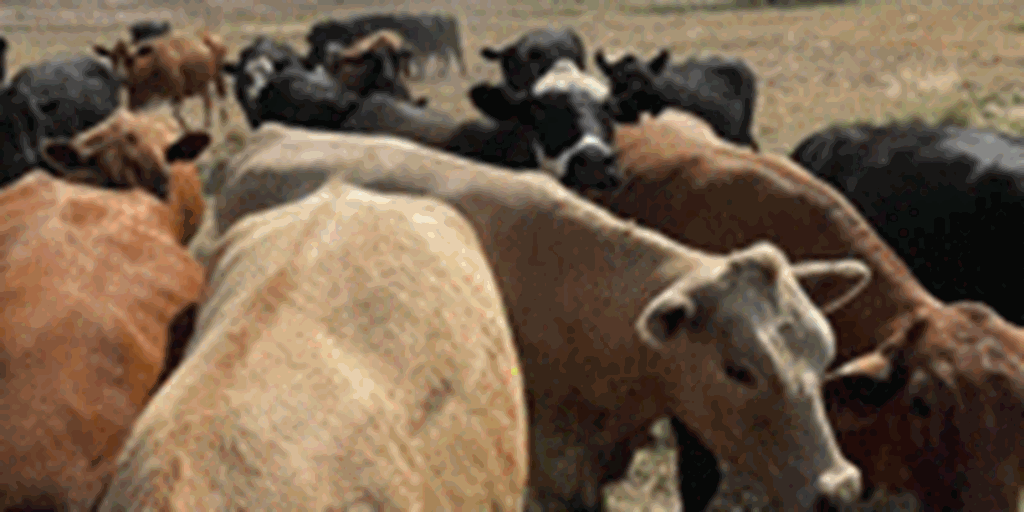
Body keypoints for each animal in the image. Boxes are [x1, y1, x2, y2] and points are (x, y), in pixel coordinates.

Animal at [93, 32, 229, 131]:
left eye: (130, 59)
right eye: (113, 58)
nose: (121, 78)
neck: (152, 63)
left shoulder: (177, 93)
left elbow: (176, 114)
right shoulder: (136, 100)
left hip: (217, 77)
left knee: (219, 95)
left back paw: (218, 123)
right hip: (202, 85)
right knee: (208, 100)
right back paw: (209, 124)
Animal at [305, 13, 467, 79]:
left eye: (318, 43)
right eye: (313, 43)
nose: (307, 61)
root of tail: (448, 17)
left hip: (454, 44)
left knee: (456, 56)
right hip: (442, 48)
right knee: (444, 58)